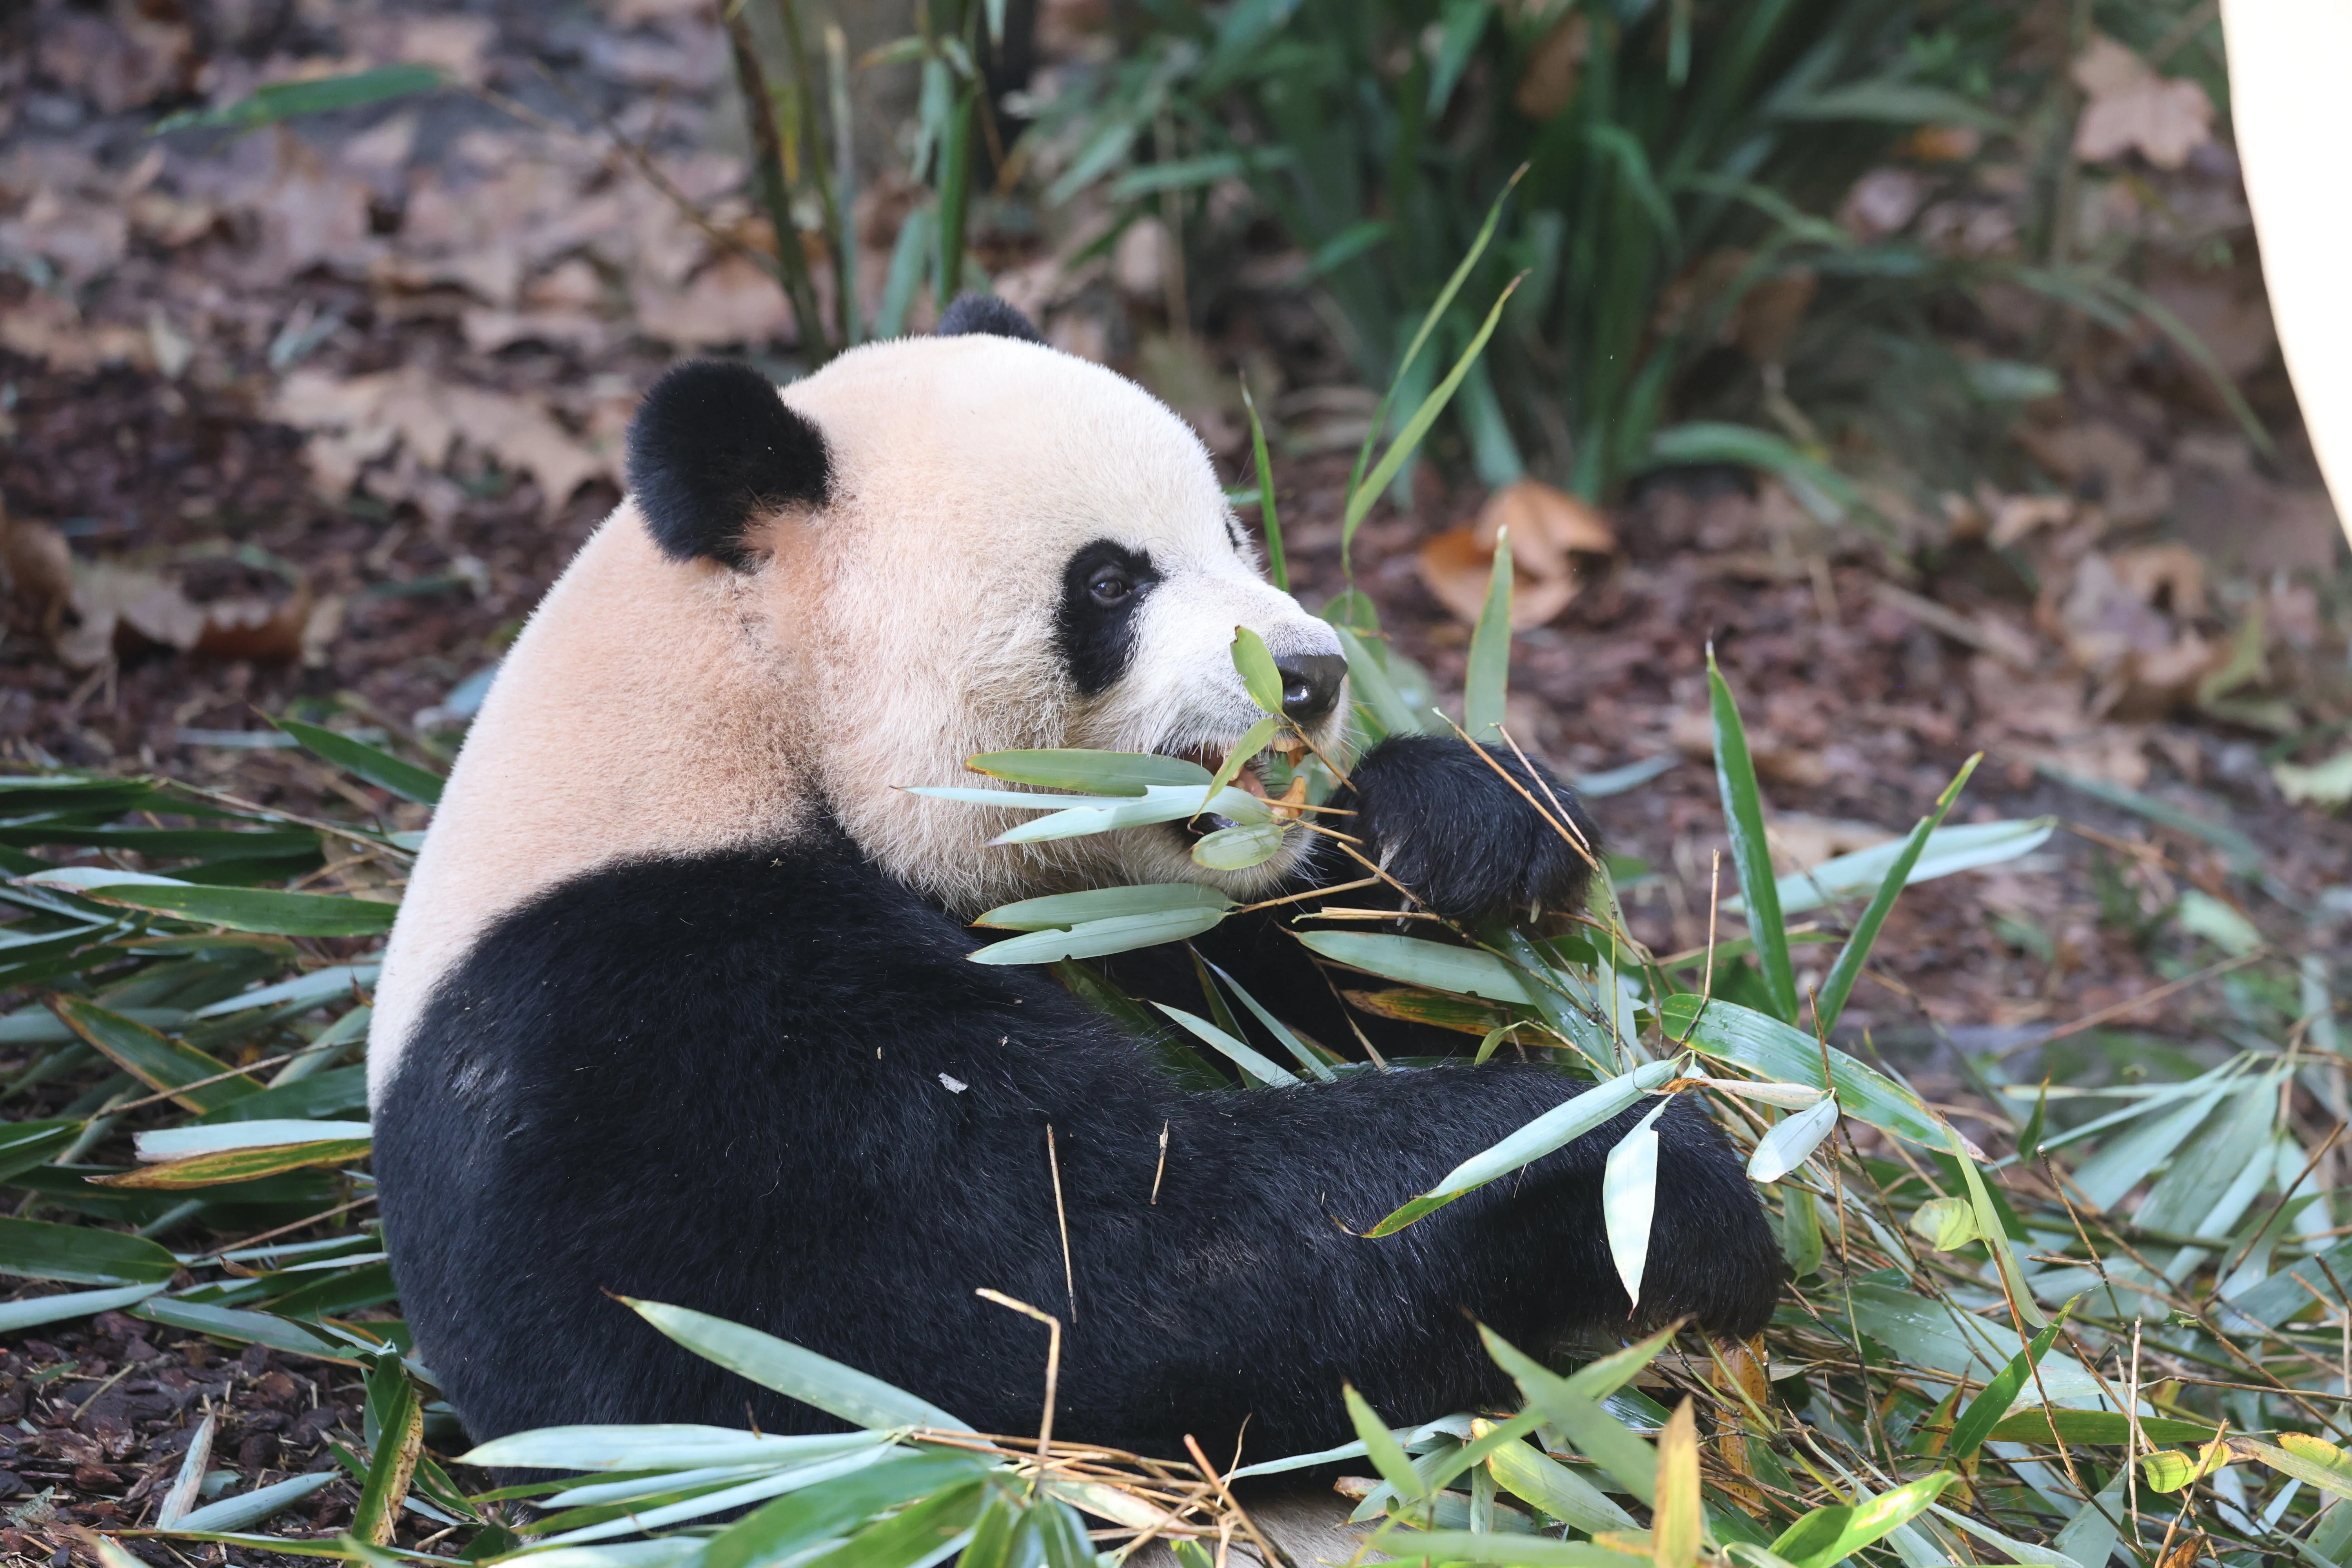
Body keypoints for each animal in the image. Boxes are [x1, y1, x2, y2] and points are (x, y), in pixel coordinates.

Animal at [368, 296, 1781, 1462]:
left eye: (1232, 530)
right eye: (1107, 581)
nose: (1312, 676)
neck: (750, 706)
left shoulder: (1132, 914)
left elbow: (1328, 982)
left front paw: (1465, 827)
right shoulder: (671, 1017)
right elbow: (1074, 1283)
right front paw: (1646, 1184)